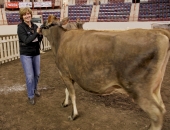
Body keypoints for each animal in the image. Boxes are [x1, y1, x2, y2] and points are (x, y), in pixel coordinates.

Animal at [41, 15, 170, 130]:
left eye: (43, 25)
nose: (38, 29)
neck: (59, 40)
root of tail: (160, 33)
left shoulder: (64, 73)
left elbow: (72, 94)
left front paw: (73, 115)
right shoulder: (68, 74)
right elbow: (67, 90)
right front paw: (65, 103)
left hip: (139, 89)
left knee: (156, 113)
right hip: (155, 87)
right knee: (162, 108)